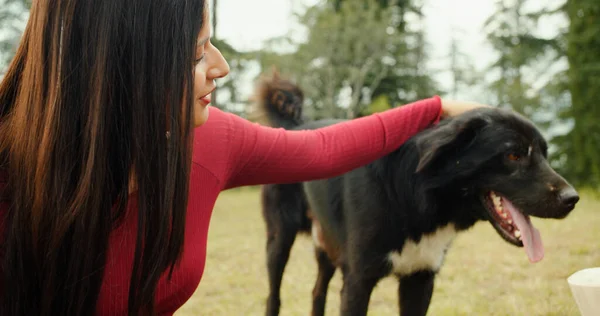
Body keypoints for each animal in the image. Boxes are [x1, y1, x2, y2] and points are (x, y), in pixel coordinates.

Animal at [254, 72, 580, 316]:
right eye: (513, 155)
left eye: (545, 154)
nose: (572, 199)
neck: (413, 198)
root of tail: (296, 124)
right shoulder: (358, 281)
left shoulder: (420, 280)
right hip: (279, 241)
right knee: (274, 296)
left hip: (327, 247)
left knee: (316, 291)